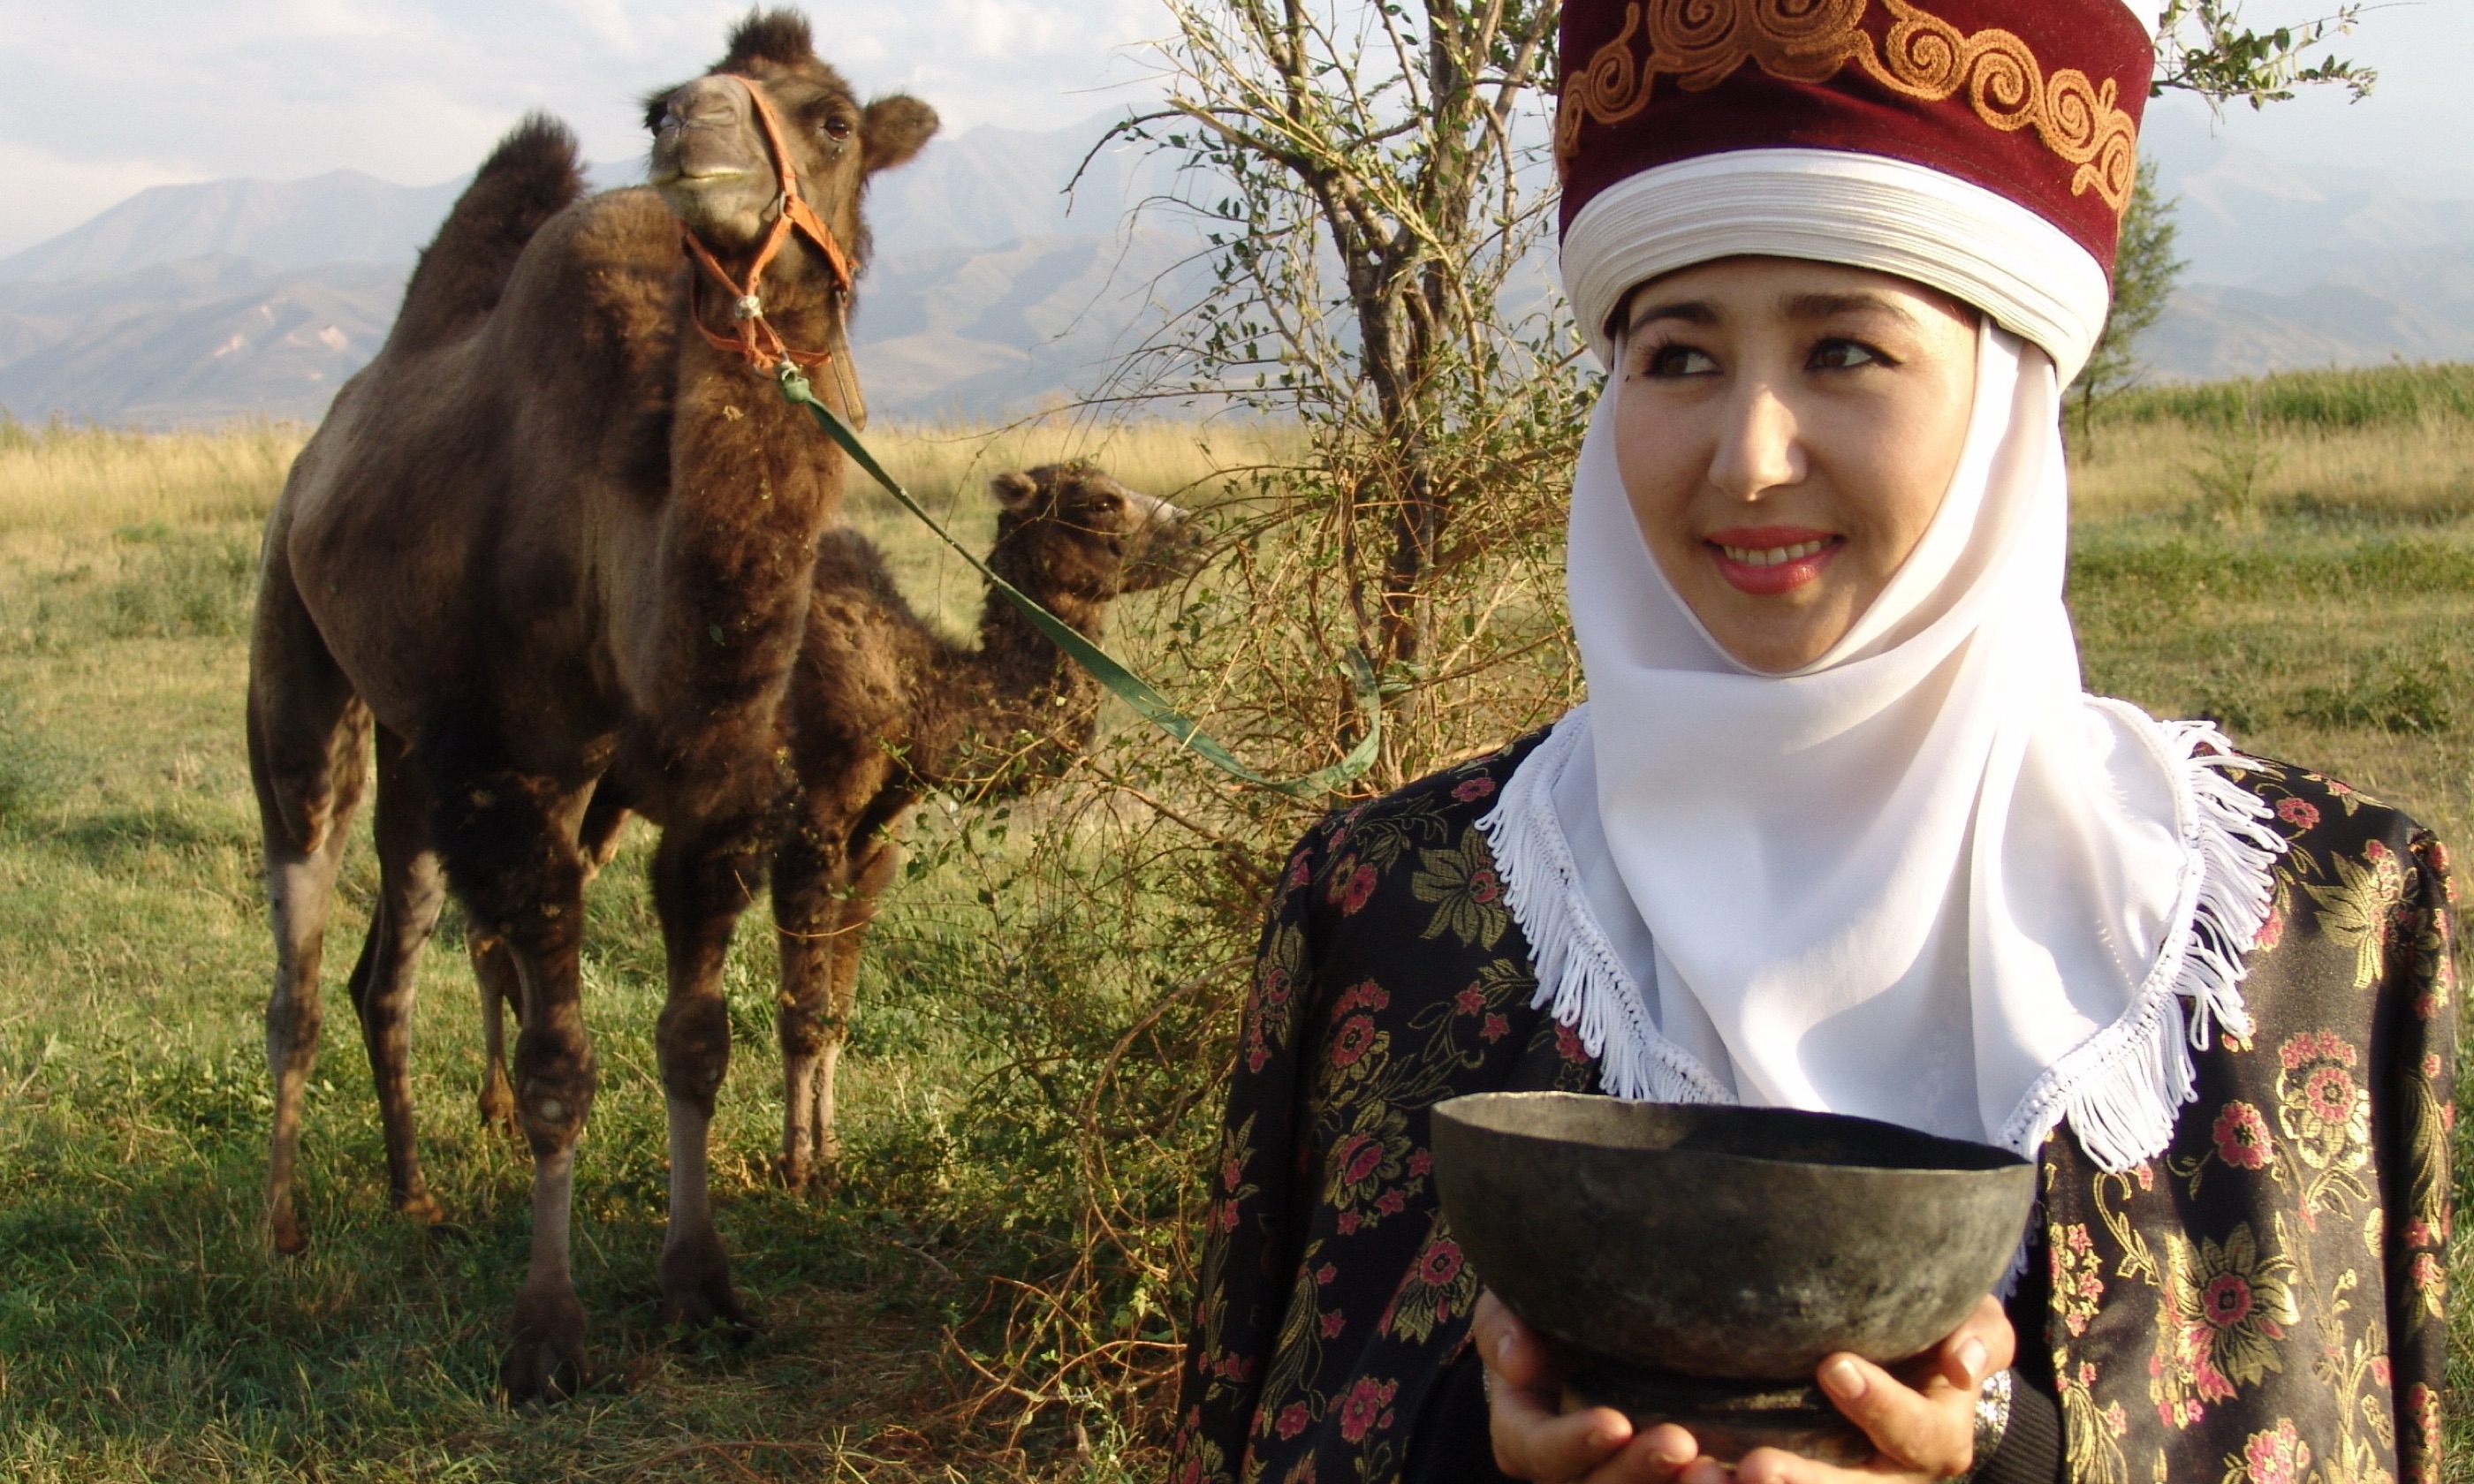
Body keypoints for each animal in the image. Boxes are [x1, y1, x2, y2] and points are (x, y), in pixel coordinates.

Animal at [246, 11, 935, 1395]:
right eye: (665, 100)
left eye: (833, 119)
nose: (695, 137)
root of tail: (321, 447)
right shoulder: (513, 777)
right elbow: (561, 1063)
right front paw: (547, 1335)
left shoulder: (721, 794)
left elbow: (695, 1041)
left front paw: (701, 1287)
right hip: (303, 659)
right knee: (302, 952)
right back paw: (285, 1230)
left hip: (432, 758)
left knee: (388, 965)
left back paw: (412, 1195)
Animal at [472, 465, 1207, 1192]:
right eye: (1102, 501)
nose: (1198, 530)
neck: (915, 695)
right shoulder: (811, 822)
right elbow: (803, 1013)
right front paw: (797, 1167)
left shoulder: (873, 841)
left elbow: (838, 1011)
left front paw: (831, 1154)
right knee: (481, 933)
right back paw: (499, 1115)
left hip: (604, 799)